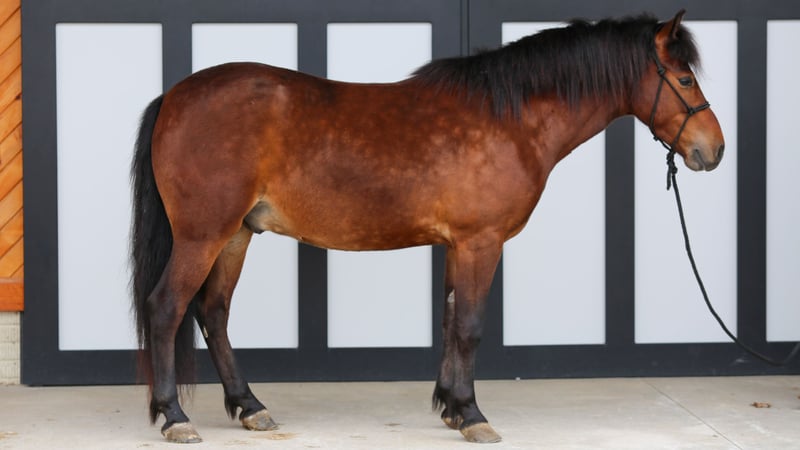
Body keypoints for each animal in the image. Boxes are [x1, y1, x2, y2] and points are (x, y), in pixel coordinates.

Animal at [130, 10, 724, 444]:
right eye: (685, 78)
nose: (713, 150)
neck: (508, 119)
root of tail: (174, 96)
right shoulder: (481, 243)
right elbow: (471, 326)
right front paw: (474, 416)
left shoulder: (457, 245)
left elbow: (450, 321)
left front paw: (452, 408)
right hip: (203, 235)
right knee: (166, 308)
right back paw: (175, 416)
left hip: (236, 234)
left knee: (213, 312)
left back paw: (250, 407)